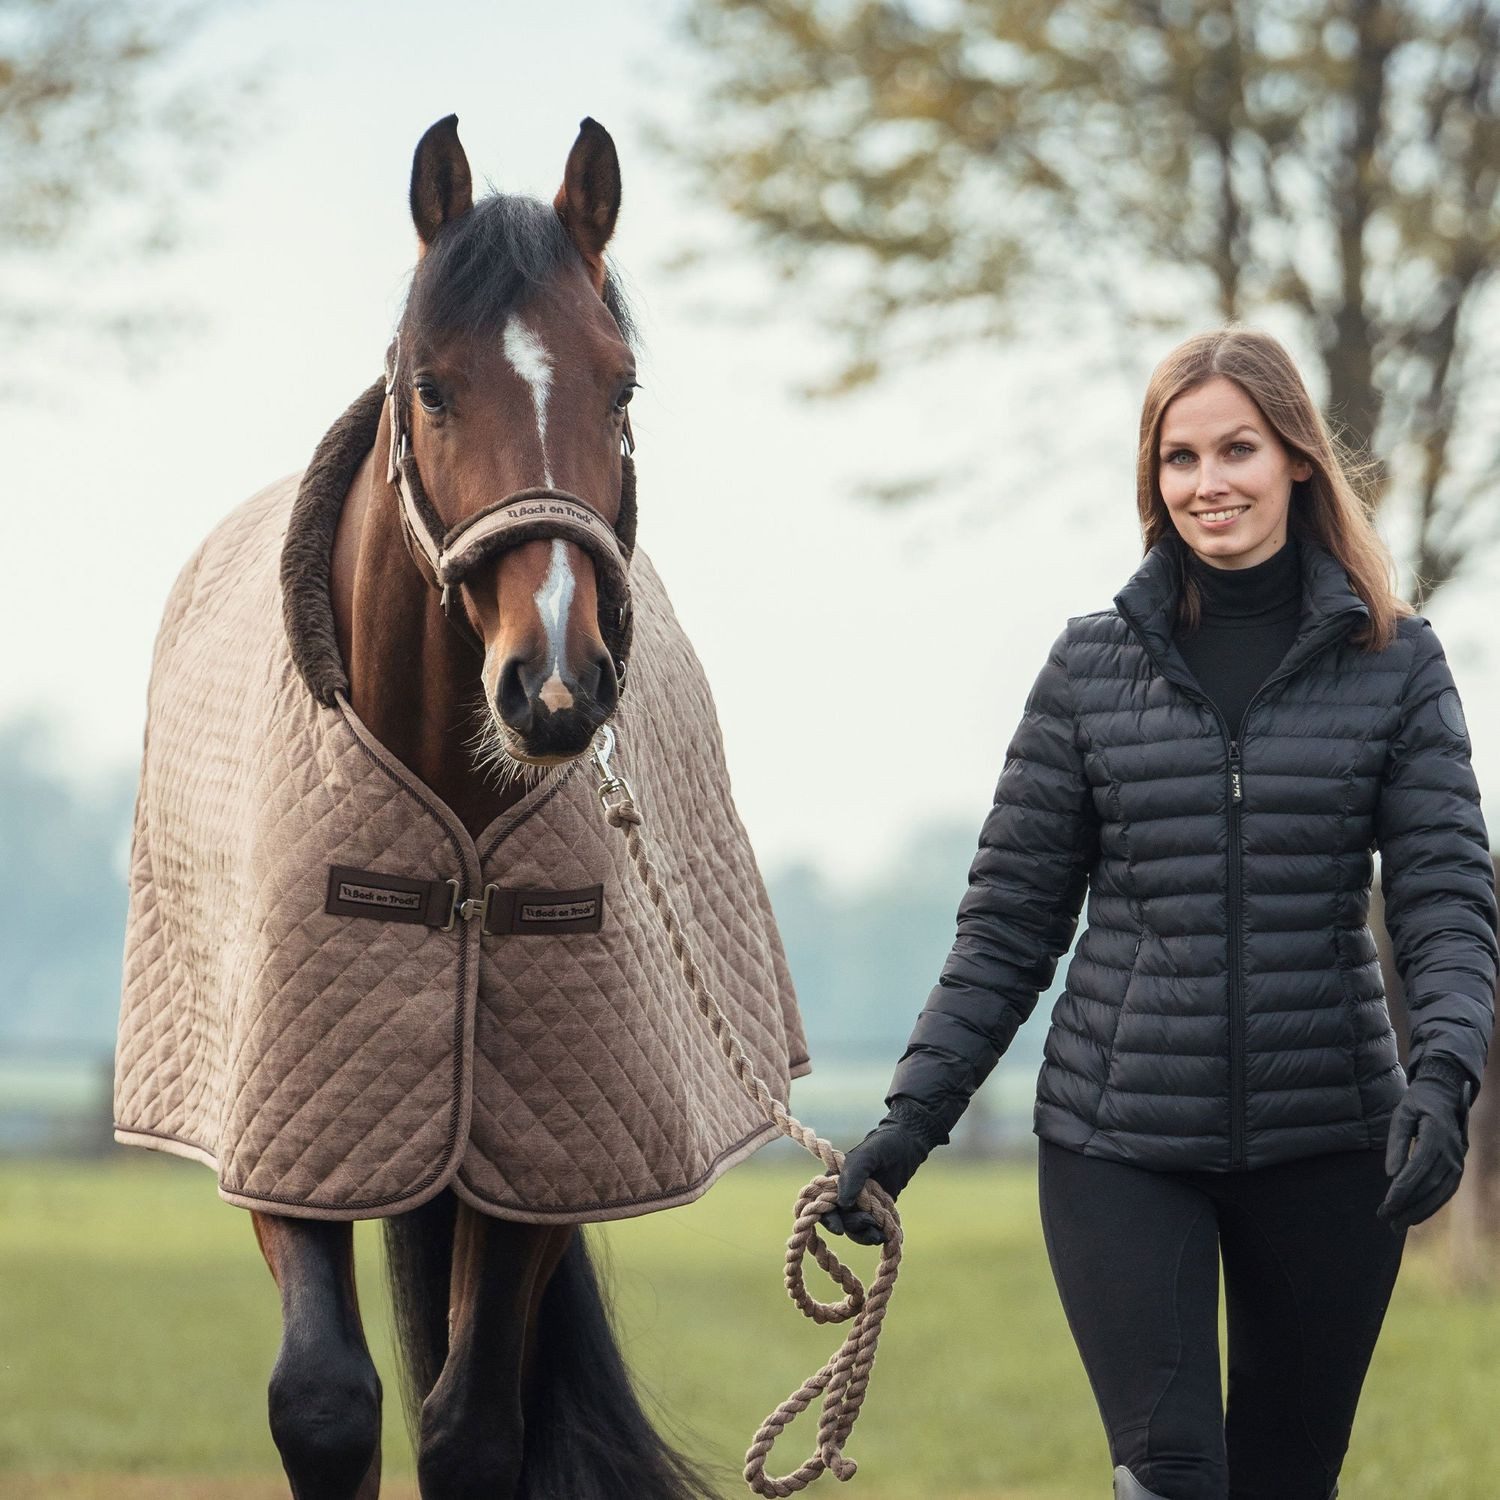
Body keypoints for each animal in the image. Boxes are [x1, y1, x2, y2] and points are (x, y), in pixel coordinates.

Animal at [114, 115, 809, 1500]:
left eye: (622, 387)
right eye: (431, 387)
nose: (554, 682)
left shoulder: (529, 1157)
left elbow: (472, 1427)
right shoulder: (292, 1129)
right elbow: (325, 1403)